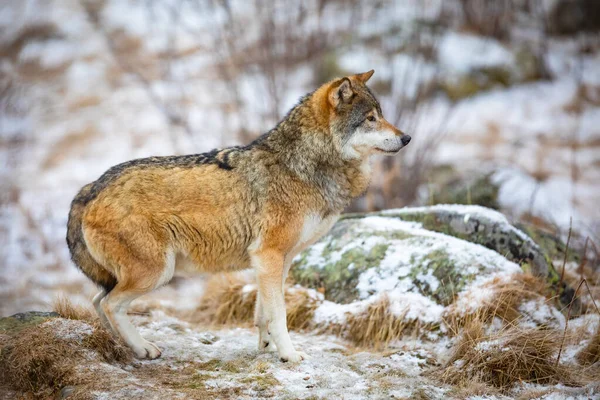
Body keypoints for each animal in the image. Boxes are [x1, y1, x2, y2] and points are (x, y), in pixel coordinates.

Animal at [67, 70, 412, 364]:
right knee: (110, 304)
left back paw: (119, 346)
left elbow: (263, 312)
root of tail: (91, 188)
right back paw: (142, 348)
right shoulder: (269, 255)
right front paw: (289, 355)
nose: (406, 138)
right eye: (371, 119)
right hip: (158, 272)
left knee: (97, 301)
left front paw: (267, 346)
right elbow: (279, 314)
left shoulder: (275, 261)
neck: (303, 165)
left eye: (381, 115)